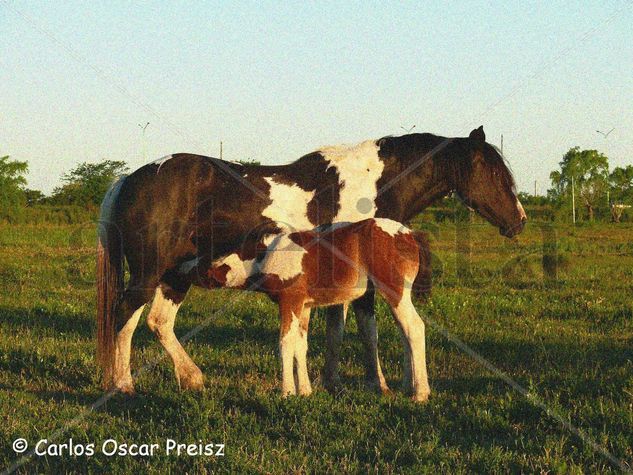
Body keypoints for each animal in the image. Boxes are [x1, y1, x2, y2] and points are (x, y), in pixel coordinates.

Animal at [188, 218, 432, 402]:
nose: (197, 271)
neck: (264, 256)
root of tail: (410, 234)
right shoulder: (304, 307)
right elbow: (300, 345)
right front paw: (304, 391)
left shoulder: (290, 301)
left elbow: (285, 344)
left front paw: (286, 392)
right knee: (405, 333)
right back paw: (408, 387)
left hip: (395, 291)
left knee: (414, 328)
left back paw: (420, 393)